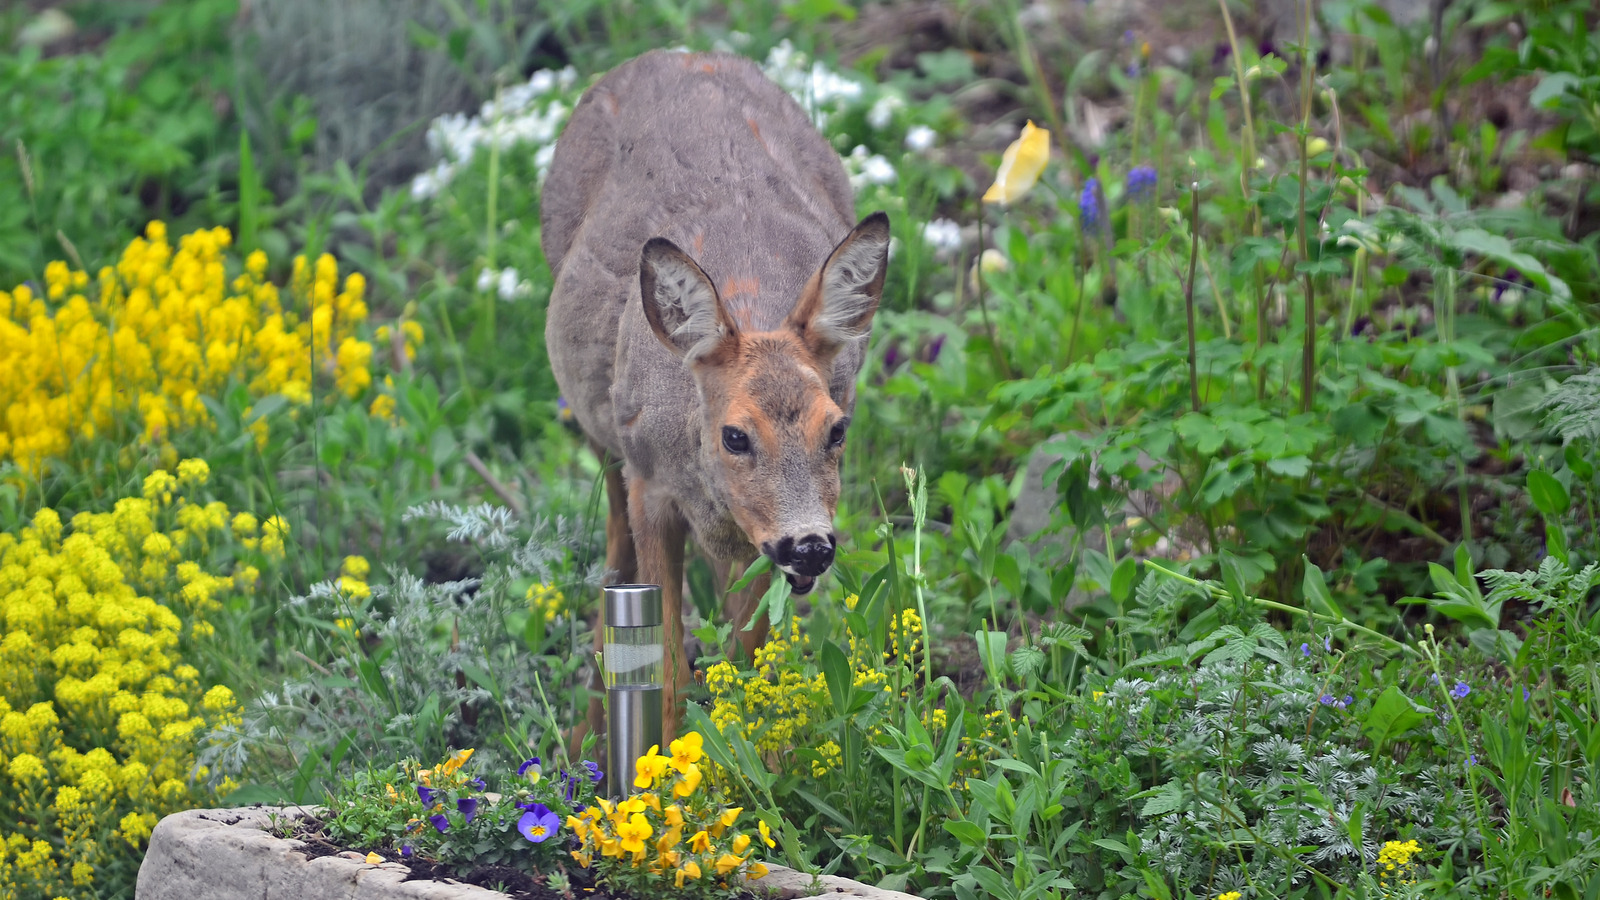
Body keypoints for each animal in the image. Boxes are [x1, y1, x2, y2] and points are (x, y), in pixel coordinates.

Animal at [537, 52, 889, 746]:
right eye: (735, 435)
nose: (810, 545)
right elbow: (669, 671)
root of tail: (673, 52)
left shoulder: (753, 540)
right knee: (612, 556)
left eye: (836, 429)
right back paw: (583, 735)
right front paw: (662, 764)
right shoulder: (652, 488)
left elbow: (751, 667)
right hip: (604, 436)